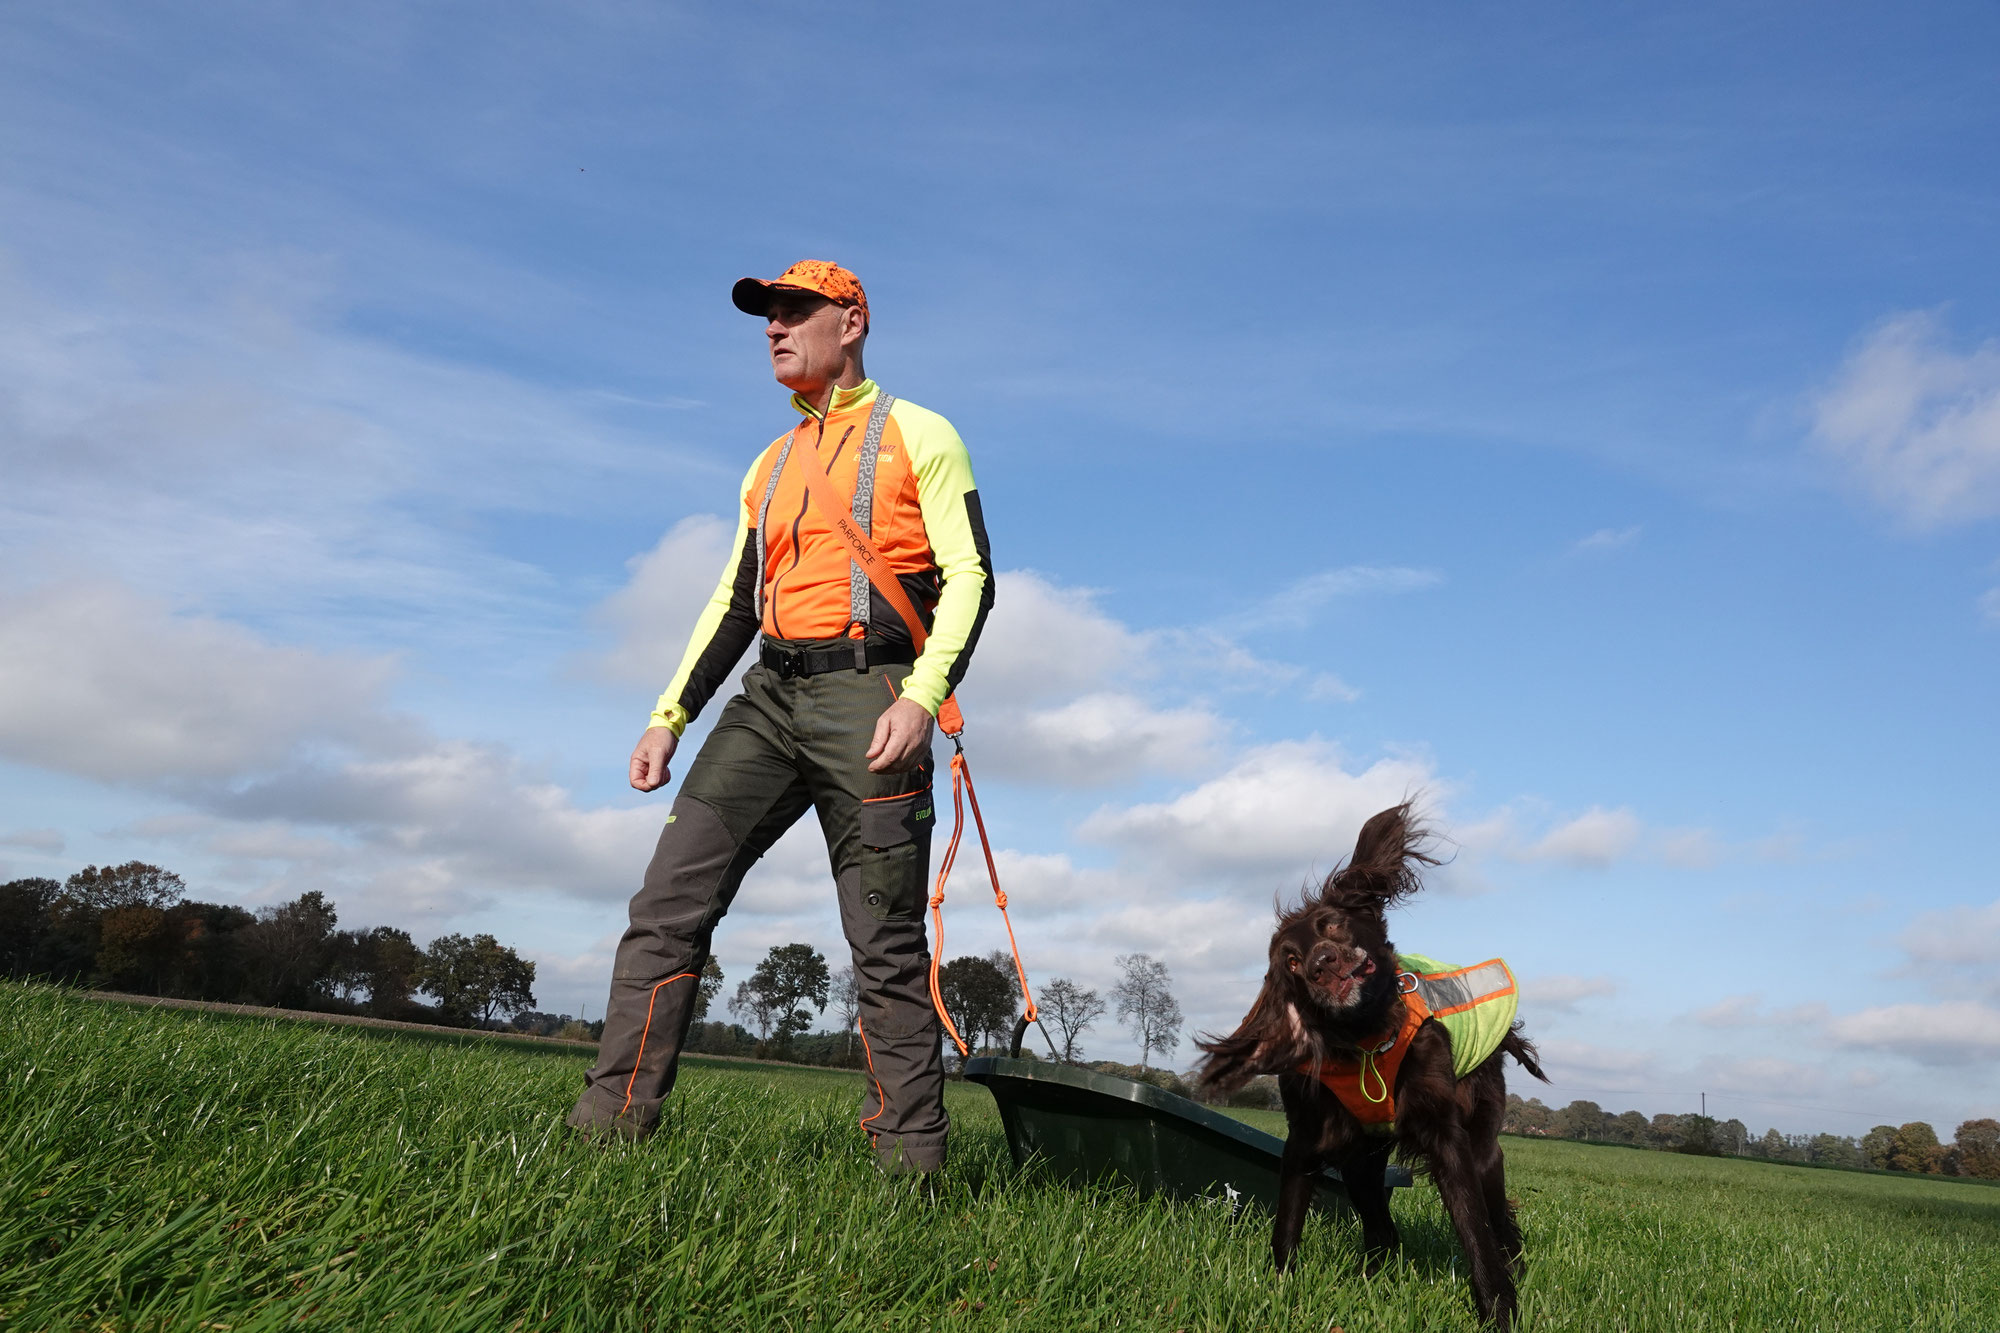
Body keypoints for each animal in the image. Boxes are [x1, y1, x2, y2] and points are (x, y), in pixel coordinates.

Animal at [1192, 804, 1552, 1320]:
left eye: (1333, 925)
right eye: (1292, 962)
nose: (1321, 963)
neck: (1363, 1040)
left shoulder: (1447, 1135)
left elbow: (1475, 1231)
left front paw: (1498, 1309)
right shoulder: (1307, 1137)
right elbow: (1286, 1226)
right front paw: (1278, 1293)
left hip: (1482, 1146)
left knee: (1499, 1219)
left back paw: (1515, 1266)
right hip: (1361, 1161)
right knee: (1383, 1229)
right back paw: (1370, 1278)